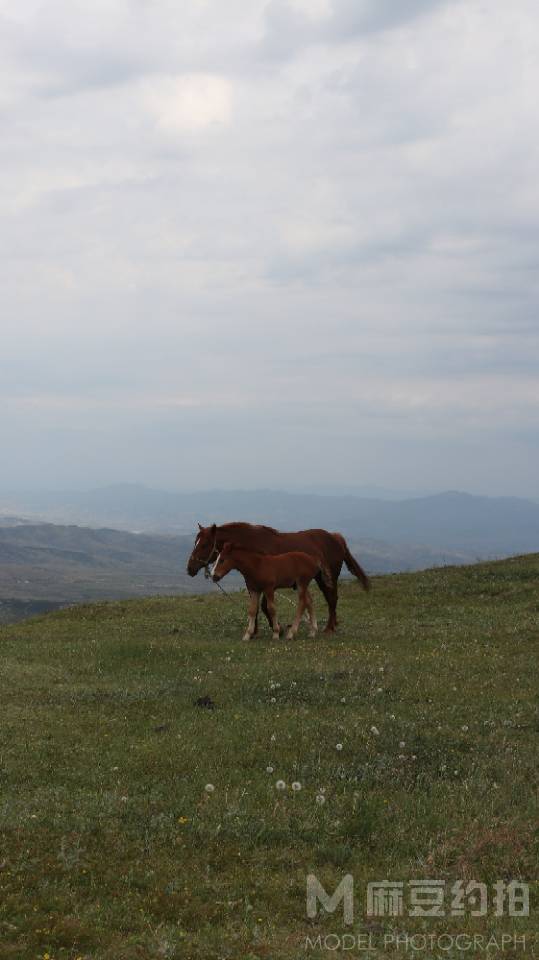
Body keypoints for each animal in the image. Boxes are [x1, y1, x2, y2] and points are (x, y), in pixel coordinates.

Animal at [187, 520, 372, 632]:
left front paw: (277, 629)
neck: (253, 546)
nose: (189, 568)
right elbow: (256, 606)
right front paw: (255, 630)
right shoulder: (254, 583)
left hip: (328, 578)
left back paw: (329, 628)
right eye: (195, 542)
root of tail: (336, 538)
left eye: (204, 544)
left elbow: (264, 606)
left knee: (332, 599)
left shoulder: (269, 583)